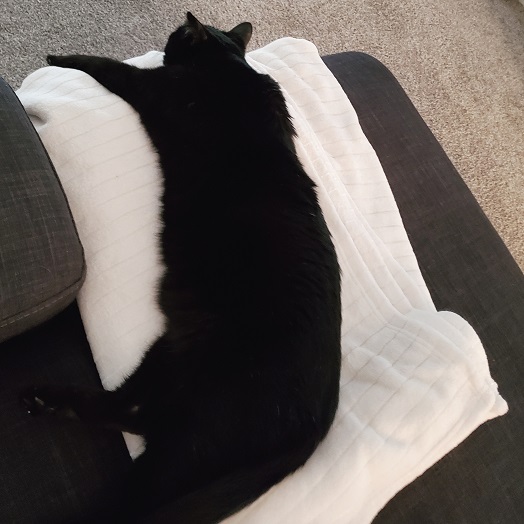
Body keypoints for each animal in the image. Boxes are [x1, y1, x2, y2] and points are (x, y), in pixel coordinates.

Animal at [20, 13, 342, 524]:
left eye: (175, 39)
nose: (166, 47)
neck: (230, 67)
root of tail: (314, 430)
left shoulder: (156, 88)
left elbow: (109, 67)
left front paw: (61, 58)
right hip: (167, 356)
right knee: (127, 409)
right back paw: (45, 399)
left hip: (192, 435)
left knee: (135, 492)